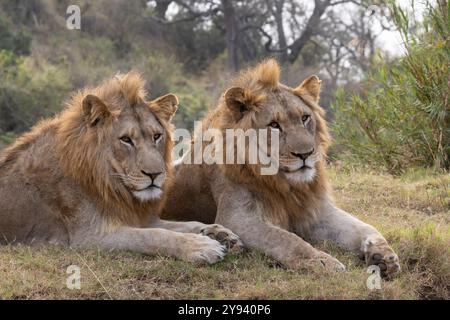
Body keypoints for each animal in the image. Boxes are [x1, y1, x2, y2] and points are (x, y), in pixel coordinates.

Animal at [0, 72, 243, 264]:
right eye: (126, 139)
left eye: (157, 136)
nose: (155, 174)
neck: (112, 184)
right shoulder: (90, 236)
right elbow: (155, 236)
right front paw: (201, 246)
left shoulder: (140, 217)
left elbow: (185, 224)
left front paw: (220, 233)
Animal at [163, 60, 400, 278]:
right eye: (274, 125)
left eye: (305, 118)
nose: (305, 153)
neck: (286, 184)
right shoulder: (237, 218)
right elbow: (287, 239)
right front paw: (323, 262)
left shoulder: (315, 210)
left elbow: (365, 227)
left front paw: (383, 255)